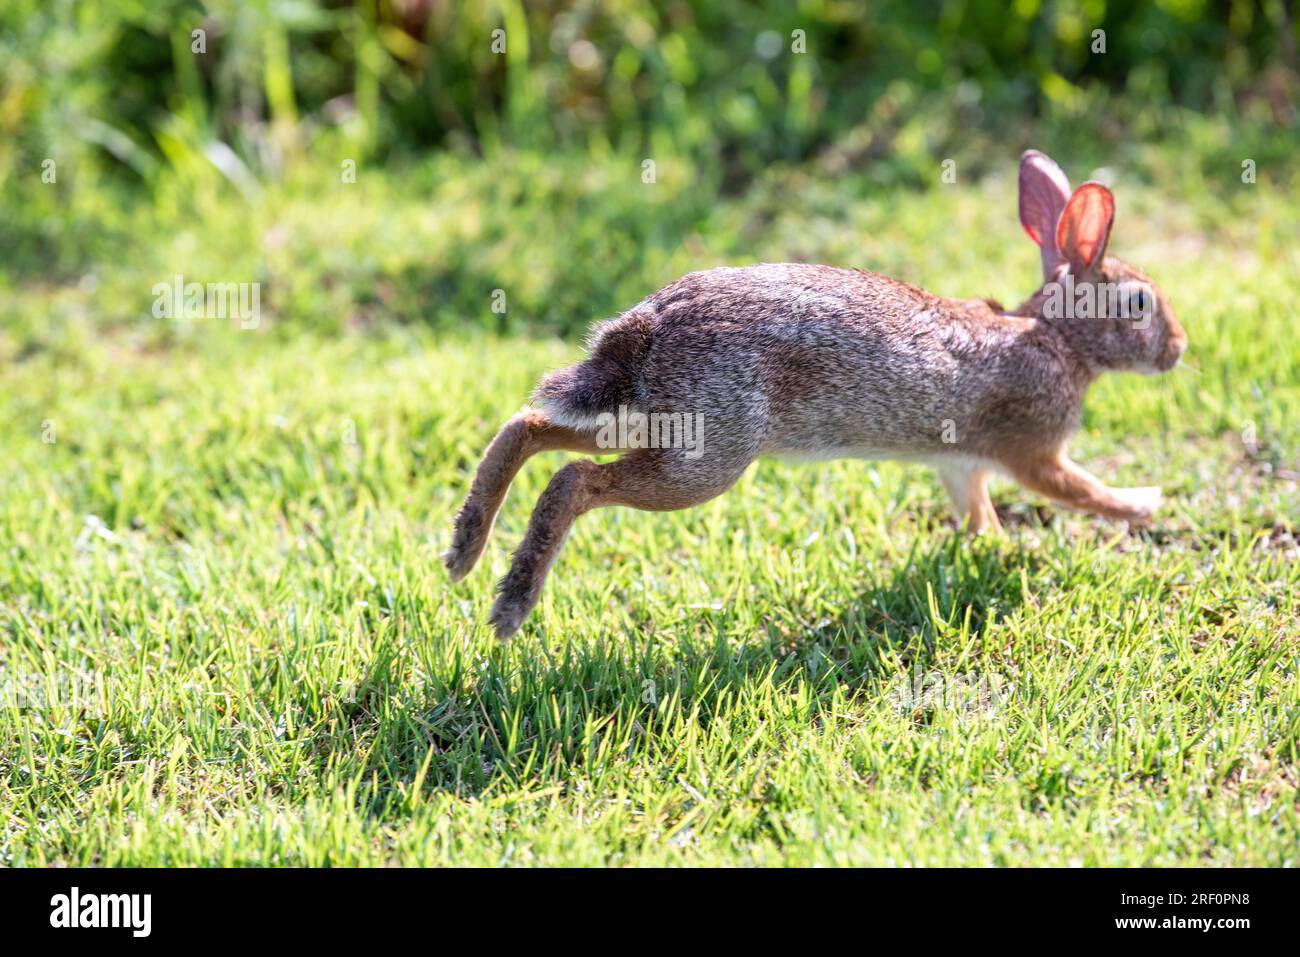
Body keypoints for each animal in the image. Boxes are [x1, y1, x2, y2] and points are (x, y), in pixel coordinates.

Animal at [445, 150, 1187, 639]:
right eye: (1139, 303)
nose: (1178, 349)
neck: (1057, 335)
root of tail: (652, 324)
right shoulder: (1034, 451)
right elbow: (1080, 490)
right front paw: (1144, 504)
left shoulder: (961, 465)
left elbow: (974, 508)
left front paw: (993, 545)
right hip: (706, 458)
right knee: (574, 479)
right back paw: (511, 601)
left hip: (648, 417)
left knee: (530, 426)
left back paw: (464, 547)